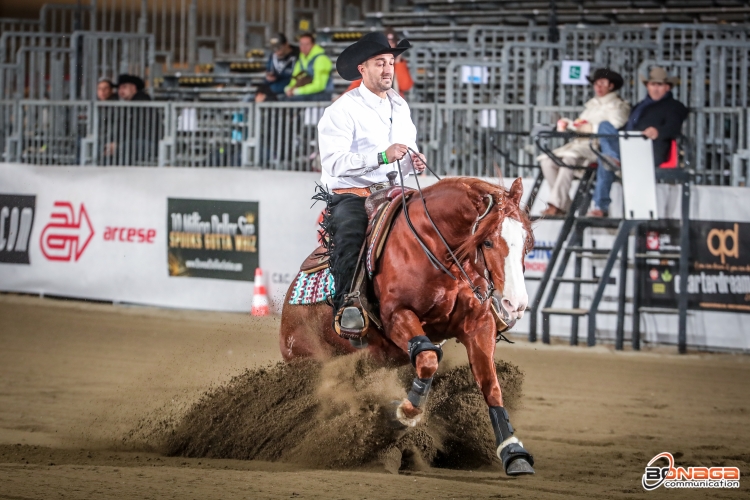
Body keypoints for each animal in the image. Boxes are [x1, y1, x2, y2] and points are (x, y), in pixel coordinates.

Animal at [280, 177, 536, 476]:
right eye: (487, 241)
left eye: (527, 242)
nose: (515, 304)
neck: (436, 248)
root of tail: (287, 308)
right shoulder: (398, 317)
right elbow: (427, 360)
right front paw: (402, 413)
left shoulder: (478, 325)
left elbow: (490, 384)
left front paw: (513, 451)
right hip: (311, 361)